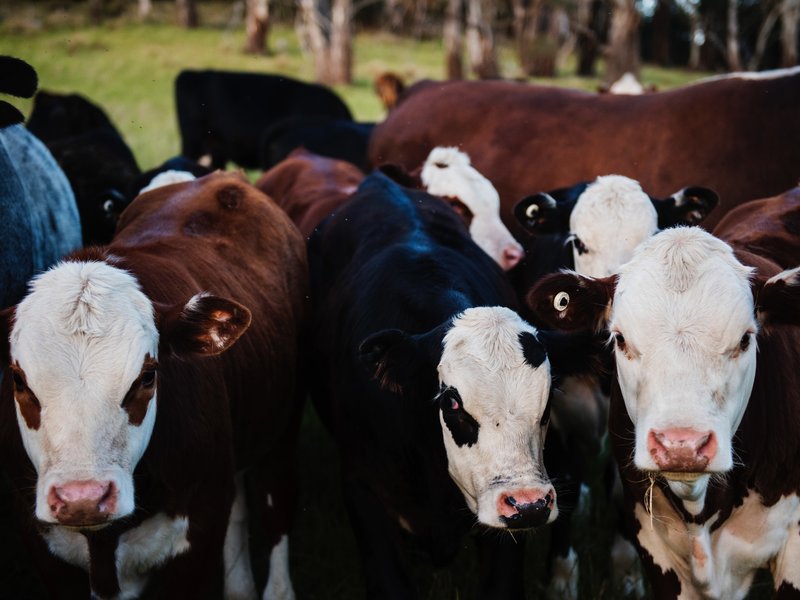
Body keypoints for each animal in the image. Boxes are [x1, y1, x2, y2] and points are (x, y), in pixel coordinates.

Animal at [0, 171, 307, 599]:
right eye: (18, 378)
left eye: (147, 375)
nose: (83, 498)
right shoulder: (42, 545)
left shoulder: (200, 530)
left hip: (283, 425)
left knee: (276, 500)